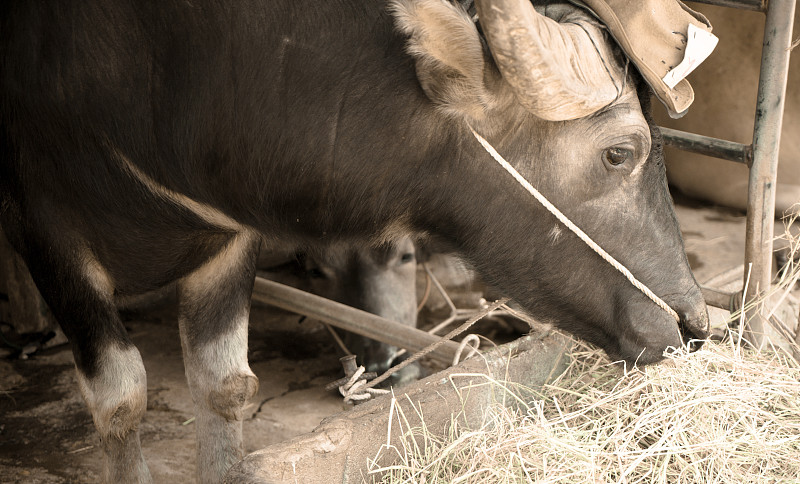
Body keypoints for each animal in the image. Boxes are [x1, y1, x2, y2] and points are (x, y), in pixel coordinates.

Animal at [0, 0, 708, 478]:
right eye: (619, 153)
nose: (693, 322)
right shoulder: (50, 236)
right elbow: (121, 397)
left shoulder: (229, 239)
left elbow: (224, 385)